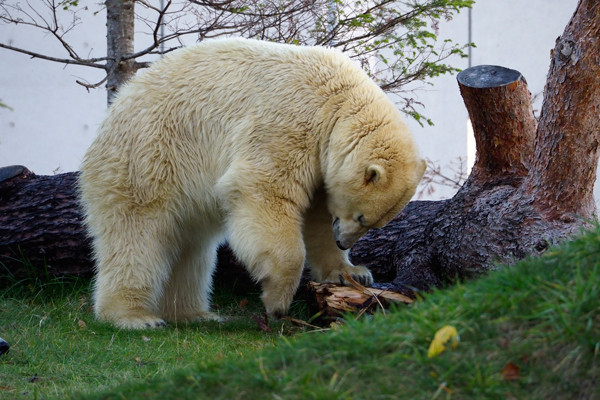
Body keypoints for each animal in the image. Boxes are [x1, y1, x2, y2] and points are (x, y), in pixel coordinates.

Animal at [79, 39, 426, 330]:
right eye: (362, 217)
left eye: (373, 223)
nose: (344, 242)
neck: (338, 99)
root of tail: (112, 112)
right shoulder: (288, 121)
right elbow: (263, 190)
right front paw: (278, 301)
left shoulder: (319, 156)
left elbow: (316, 218)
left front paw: (352, 272)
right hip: (148, 157)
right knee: (138, 235)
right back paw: (135, 317)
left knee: (192, 247)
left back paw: (195, 313)